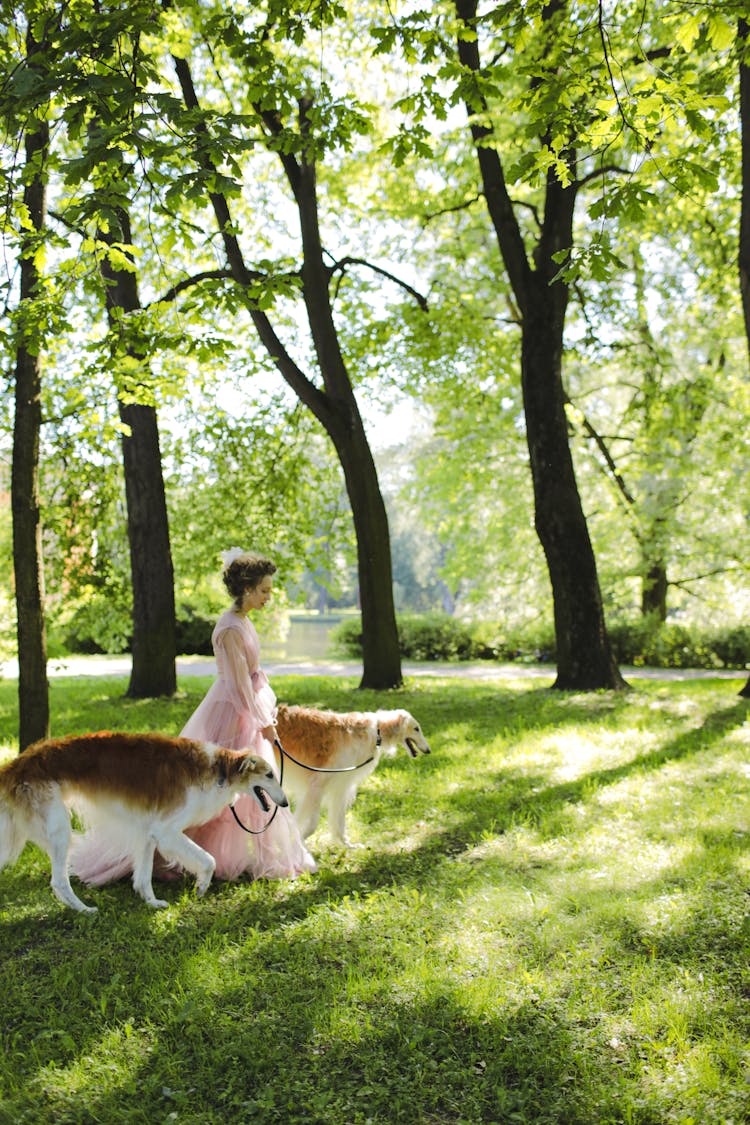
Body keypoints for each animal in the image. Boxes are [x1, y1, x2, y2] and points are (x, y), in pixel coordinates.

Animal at [0, 729, 287, 913]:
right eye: (270, 775)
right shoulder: (166, 831)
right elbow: (208, 860)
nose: (284, 803)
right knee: (59, 881)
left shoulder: (148, 831)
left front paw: (152, 903)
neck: (220, 769)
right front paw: (201, 887)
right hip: (59, 827)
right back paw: (84, 909)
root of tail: (16, 765)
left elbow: (143, 877)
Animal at [275, 702, 431, 846]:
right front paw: (298, 843)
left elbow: (339, 821)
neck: (377, 732)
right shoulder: (317, 784)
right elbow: (312, 823)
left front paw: (347, 844)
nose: (428, 750)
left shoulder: (341, 785)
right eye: (417, 728)